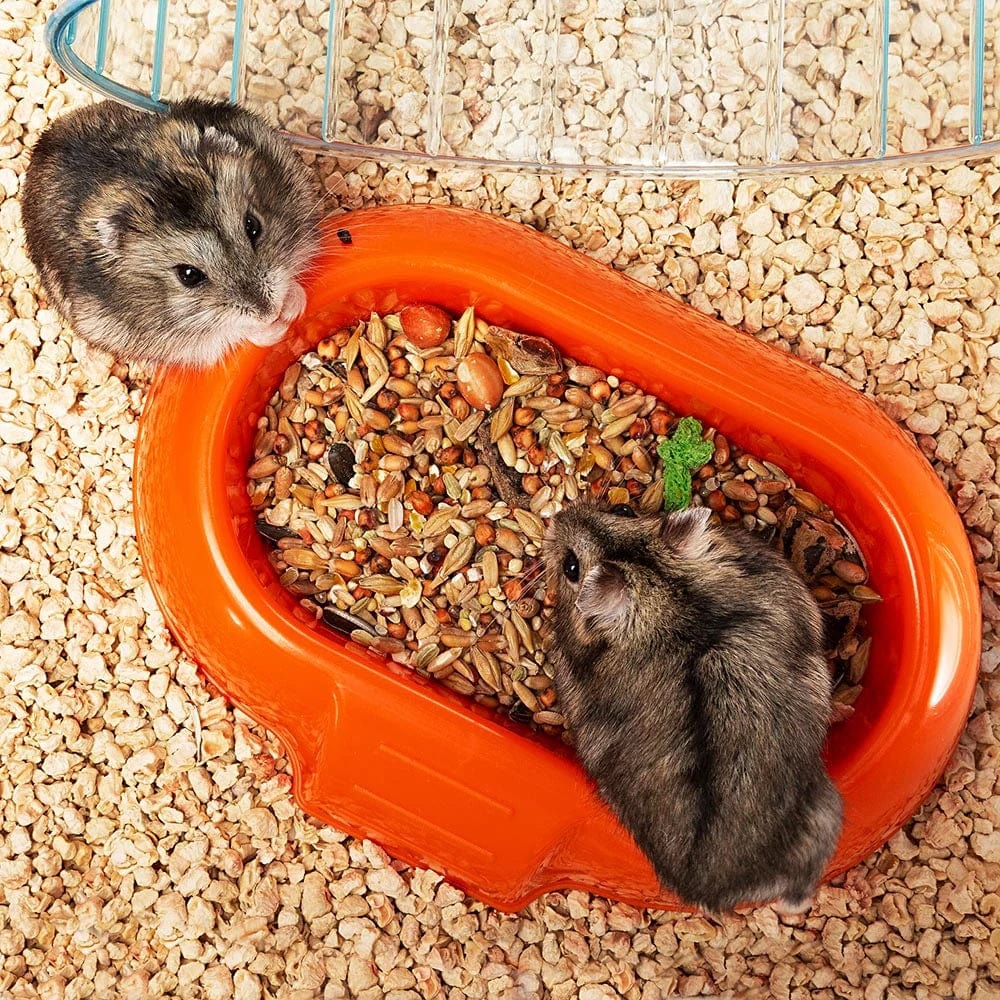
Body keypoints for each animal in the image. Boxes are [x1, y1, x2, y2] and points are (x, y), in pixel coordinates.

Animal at [20, 98, 322, 367]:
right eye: (188, 275)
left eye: (253, 226)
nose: (269, 313)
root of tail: (43, 139)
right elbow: (229, 333)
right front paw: (276, 327)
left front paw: (294, 304)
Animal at [543, 501, 843, 914]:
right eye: (624, 508)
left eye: (571, 567)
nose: (557, 516)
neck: (674, 608)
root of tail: (713, 891)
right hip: (825, 817)